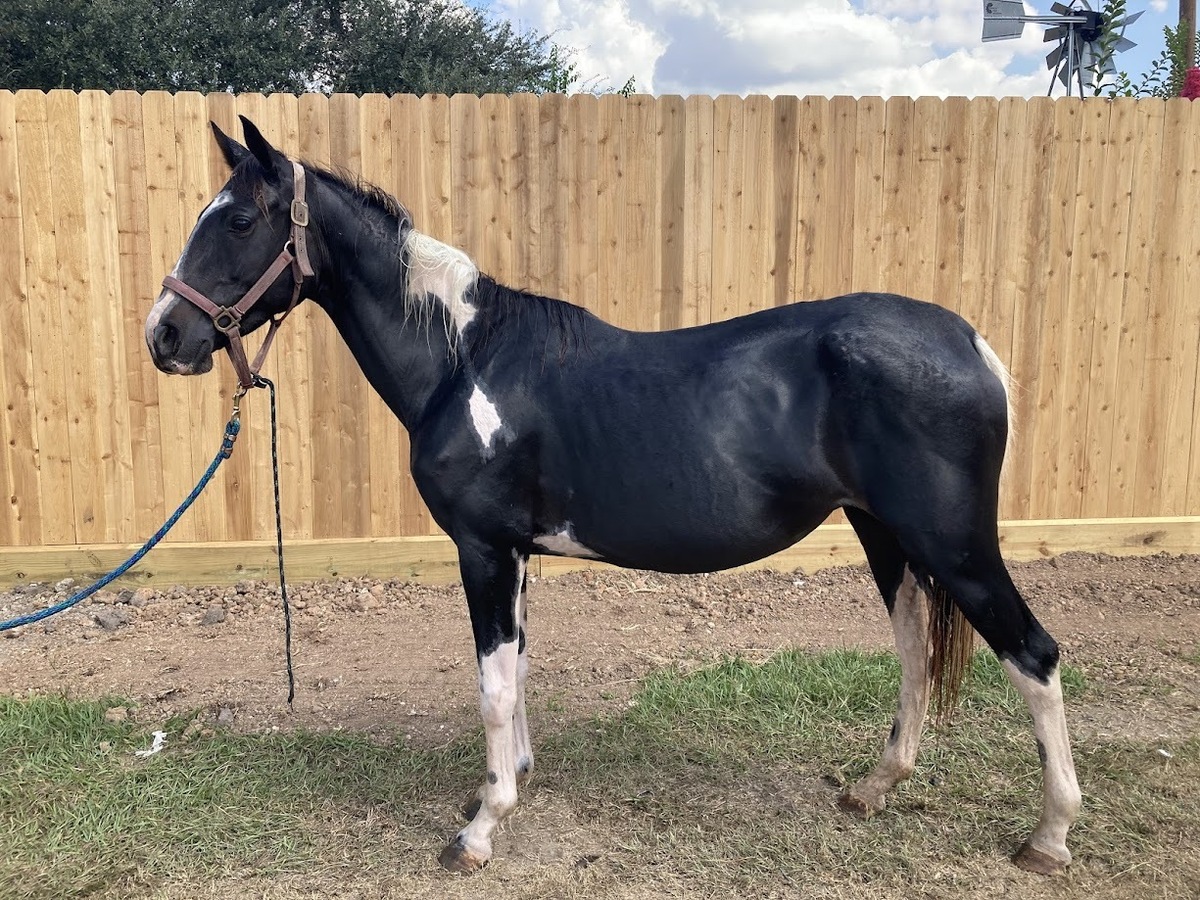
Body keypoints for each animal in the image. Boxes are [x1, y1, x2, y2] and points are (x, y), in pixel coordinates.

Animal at [145, 116, 1080, 877]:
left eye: (238, 220)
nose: (164, 336)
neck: (465, 360)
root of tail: (968, 341)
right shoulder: (517, 552)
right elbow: (518, 667)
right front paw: (509, 782)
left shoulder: (484, 548)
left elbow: (492, 684)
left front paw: (480, 830)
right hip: (887, 534)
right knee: (915, 647)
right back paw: (873, 787)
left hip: (953, 544)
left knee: (1032, 654)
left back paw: (1048, 837)